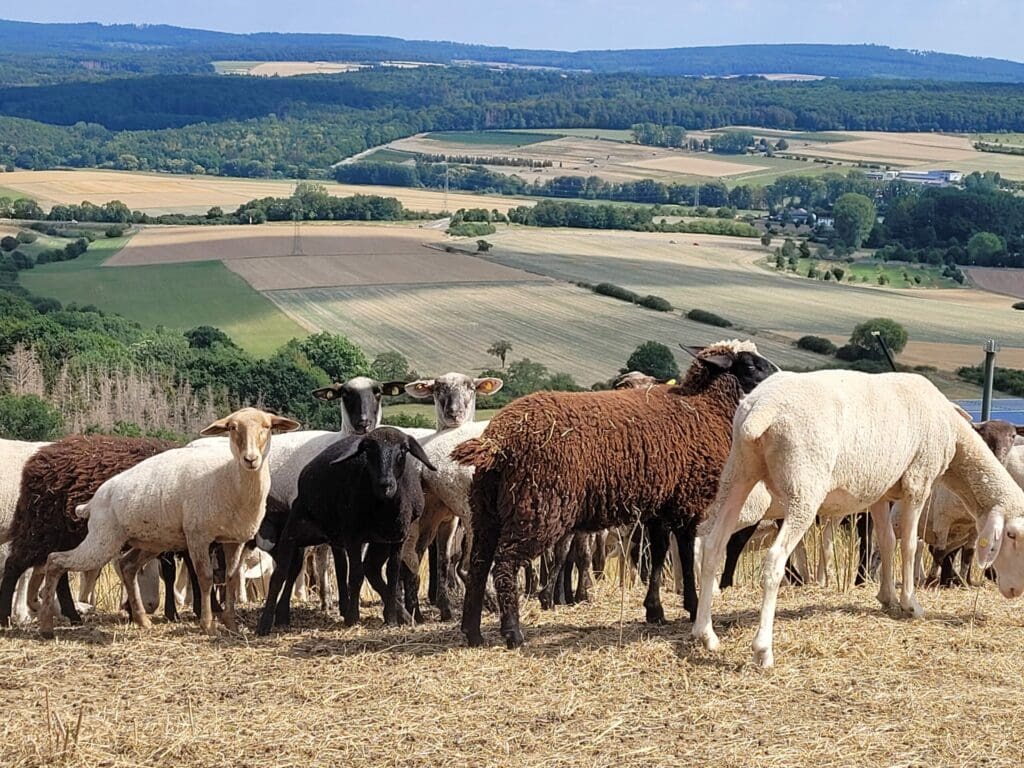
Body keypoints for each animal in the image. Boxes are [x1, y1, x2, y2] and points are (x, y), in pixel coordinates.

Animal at [0, 435, 177, 628]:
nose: (152, 605)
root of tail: (37, 460)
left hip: (61, 532)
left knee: (56, 569)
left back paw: (71, 615)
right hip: (43, 527)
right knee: (15, 565)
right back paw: (7, 617)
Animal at [35, 408, 299, 638]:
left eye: (267, 427)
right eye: (232, 428)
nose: (250, 459)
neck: (228, 479)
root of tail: (93, 501)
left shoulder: (235, 540)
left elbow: (232, 579)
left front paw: (232, 625)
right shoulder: (197, 536)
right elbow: (205, 578)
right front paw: (208, 625)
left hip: (149, 540)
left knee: (126, 565)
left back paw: (142, 620)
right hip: (103, 537)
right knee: (55, 560)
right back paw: (46, 626)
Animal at [255, 427, 436, 635]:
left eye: (404, 450)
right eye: (368, 450)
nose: (385, 485)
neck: (384, 509)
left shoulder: (397, 538)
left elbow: (392, 574)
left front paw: (391, 620)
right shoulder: (353, 536)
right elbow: (355, 575)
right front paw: (353, 618)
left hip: (365, 540)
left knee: (365, 569)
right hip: (295, 528)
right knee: (281, 574)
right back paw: (266, 623)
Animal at [452, 340, 779, 648]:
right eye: (751, 364)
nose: (781, 378)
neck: (705, 407)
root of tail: (496, 442)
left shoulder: (659, 504)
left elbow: (657, 554)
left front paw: (654, 610)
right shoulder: (687, 501)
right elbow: (685, 555)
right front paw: (692, 605)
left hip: (486, 508)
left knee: (479, 563)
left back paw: (473, 633)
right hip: (536, 506)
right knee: (505, 564)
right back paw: (513, 633)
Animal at [693, 370, 1024, 668]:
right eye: (1012, 535)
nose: (1015, 591)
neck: (955, 436)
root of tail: (761, 409)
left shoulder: (879, 490)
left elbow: (887, 542)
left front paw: (887, 597)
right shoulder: (918, 481)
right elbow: (909, 545)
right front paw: (911, 604)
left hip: (739, 474)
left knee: (712, 546)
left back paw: (705, 634)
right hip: (803, 486)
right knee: (773, 559)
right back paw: (762, 650)